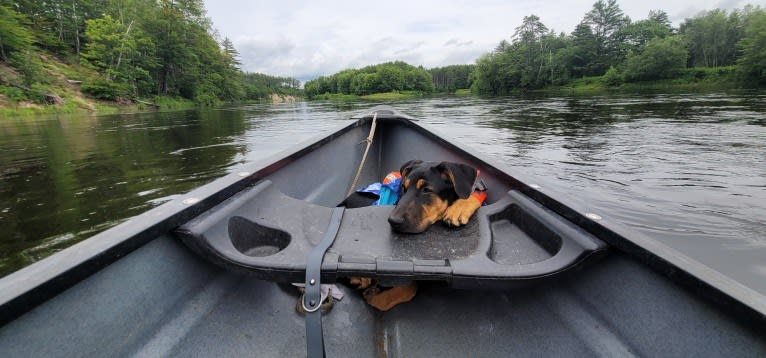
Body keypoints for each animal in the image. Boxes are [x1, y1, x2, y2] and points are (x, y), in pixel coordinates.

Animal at [342, 159, 486, 310]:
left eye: (426, 190)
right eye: (403, 188)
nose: (393, 221)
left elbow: (410, 287)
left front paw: (460, 207)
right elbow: (409, 286)